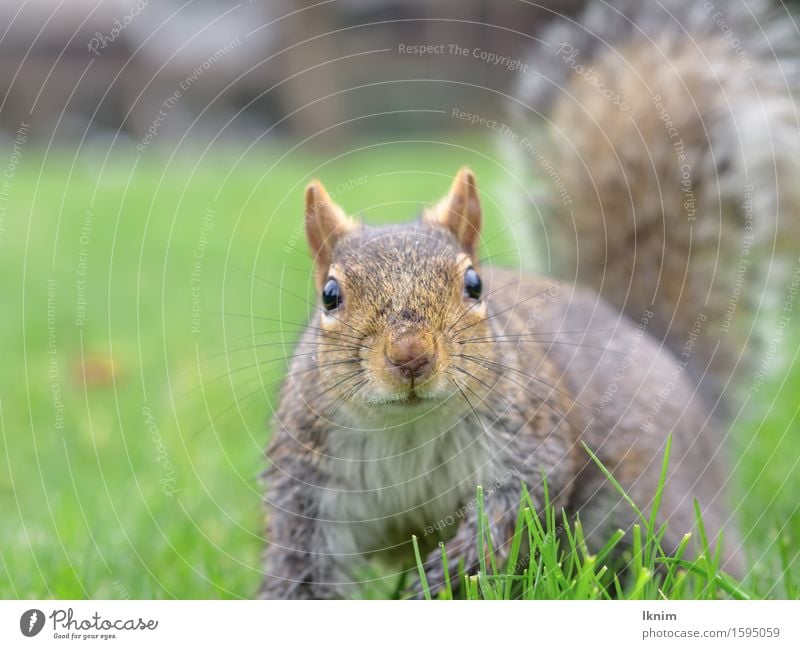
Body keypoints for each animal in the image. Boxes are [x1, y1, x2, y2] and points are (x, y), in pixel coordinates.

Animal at [260, 0, 796, 596]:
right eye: (330, 295)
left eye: (474, 285)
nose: (410, 357)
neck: (407, 426)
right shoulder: (306, 479)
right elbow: (300, 566)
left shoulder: (529, 439)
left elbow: (508, 518)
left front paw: (438, 581)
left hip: (657, 508)